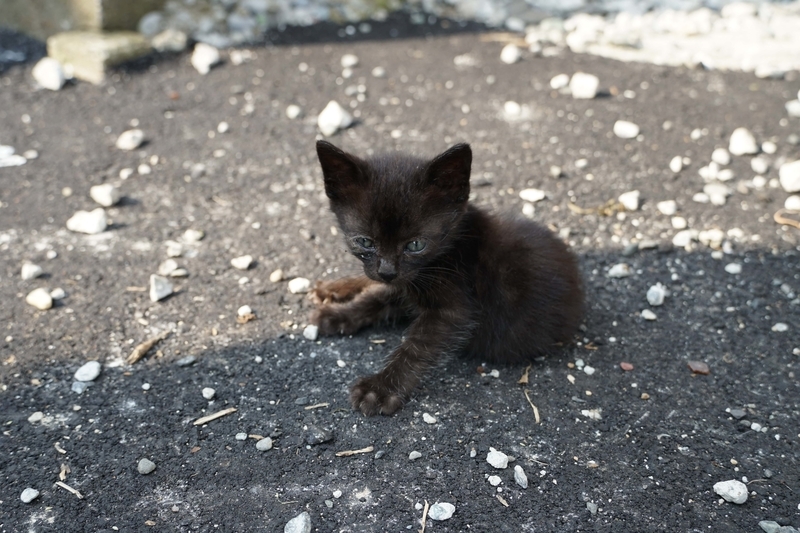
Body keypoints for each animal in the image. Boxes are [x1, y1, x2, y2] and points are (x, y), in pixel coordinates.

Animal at [310, 141, 580, 416]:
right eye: (365, 242)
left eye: (416, 245)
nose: (387, 271)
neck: (450, 247)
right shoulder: (406, 282)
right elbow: (376, 299)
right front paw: (338, 315)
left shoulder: (453, 307)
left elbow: (416, 346)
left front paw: (380, 388)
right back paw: (334, 287)